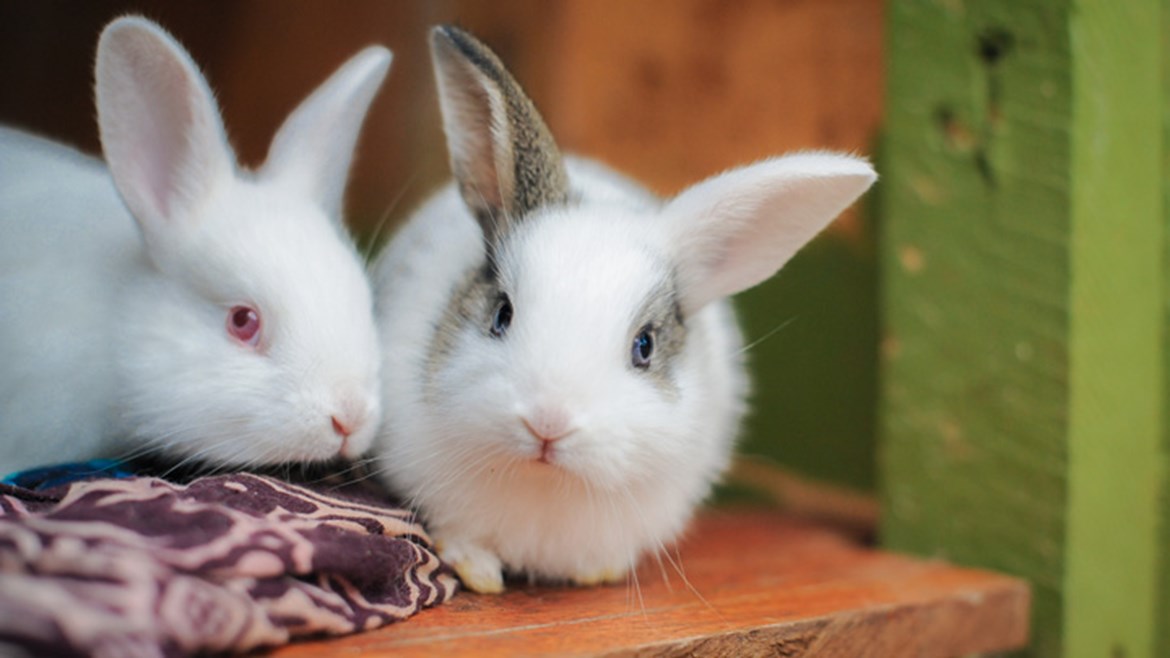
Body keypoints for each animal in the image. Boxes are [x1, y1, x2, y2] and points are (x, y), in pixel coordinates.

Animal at [369, 25, 877, 593]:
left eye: (644, 346)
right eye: (502, 314)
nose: (548, 422)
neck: (545, 485)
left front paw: (597, 572)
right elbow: (461, 536)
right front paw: (480, 574)